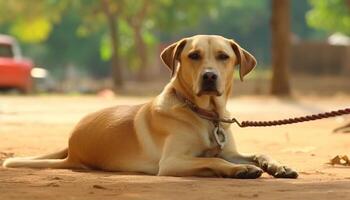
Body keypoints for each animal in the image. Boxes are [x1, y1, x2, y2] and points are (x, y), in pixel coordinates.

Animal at [2, 35, 298, 179]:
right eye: (194, 55)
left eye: (223, 56)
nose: (209, 76)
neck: (205, 114)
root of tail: (72, 145)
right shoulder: (172, 162)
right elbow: (213, 159)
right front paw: (240, 170)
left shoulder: (230, 150)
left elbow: (256, 152)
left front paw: (279, 166)